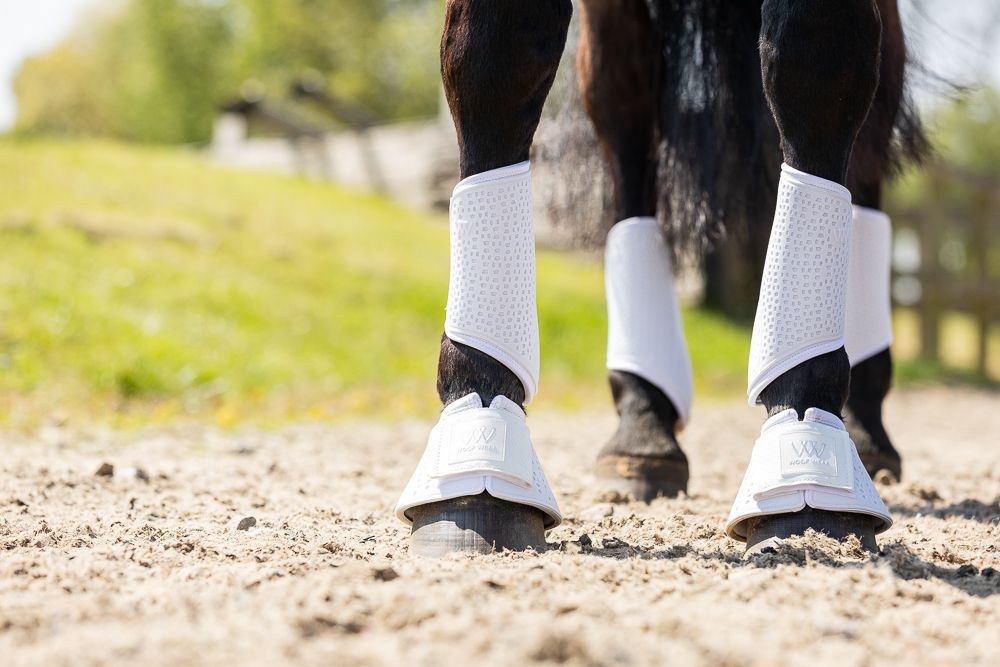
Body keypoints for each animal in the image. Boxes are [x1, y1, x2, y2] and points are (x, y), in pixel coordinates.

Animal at [393, 0, 927, 557]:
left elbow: (818, 62)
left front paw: (809, 453)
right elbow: (492, 58)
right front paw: (478, 452)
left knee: (874, 121)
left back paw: (864, 429)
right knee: (623, 107)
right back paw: (643, 424)